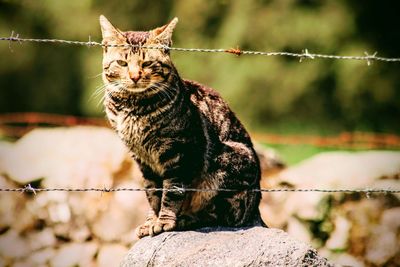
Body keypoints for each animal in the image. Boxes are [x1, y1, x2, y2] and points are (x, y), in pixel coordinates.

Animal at [98, 15, 264, 239]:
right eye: (122, 63)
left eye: (147, 63)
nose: (134, 76)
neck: (132, 108)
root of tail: (256, 209)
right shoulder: (142, 160)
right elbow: (152, 193)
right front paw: (152, 220)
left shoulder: (179, 153)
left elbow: (172, 192)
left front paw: (164, 221)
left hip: (228, 163)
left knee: (219, 215)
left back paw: (185, 219)